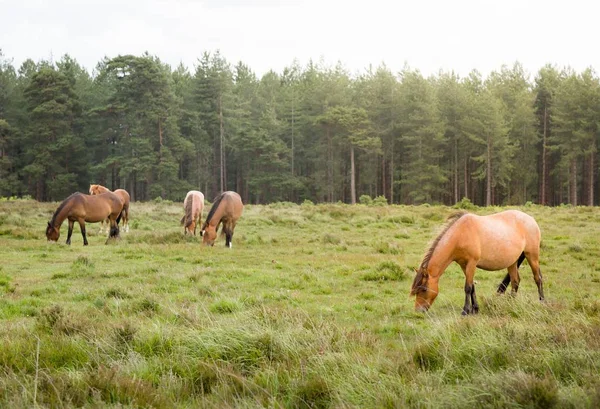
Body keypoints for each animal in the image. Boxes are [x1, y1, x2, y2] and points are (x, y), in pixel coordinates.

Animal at [410, 209, 548, 314]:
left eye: (424, 289)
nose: (418, 311)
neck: (460, 234)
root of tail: (531, 219)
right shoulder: (463, 265)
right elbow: (472, 287)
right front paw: (475, 309)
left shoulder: (472, 263)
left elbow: (468, 287)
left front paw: (465, 310)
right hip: (512, 262)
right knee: (515, 281)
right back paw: (510, 303)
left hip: (532, 255)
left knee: (538, 278)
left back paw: (542, 301)